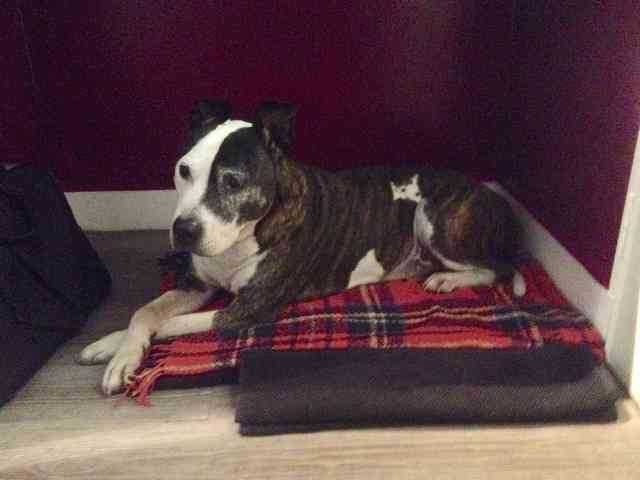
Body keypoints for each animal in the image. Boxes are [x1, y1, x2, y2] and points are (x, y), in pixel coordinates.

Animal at [77, 100, 524, 394]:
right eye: (183, 170)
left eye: (233, 181)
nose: (183, 230)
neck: (241, 238)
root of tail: (490, 193)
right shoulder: (197, 285)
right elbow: (145, 311)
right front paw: (115, 349)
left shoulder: (246, 308)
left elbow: (169, 324)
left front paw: (131, 347)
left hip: (434, 221)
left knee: (497, 267)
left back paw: (448, 281)